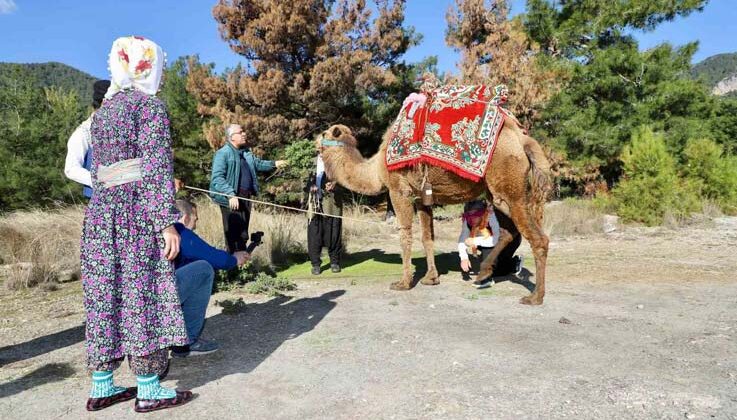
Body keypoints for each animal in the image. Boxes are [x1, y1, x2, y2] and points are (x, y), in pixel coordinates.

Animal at [316, 116, 552, 304]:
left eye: (324, 133)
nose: (315, 141)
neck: (375, 169)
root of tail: (524, 140)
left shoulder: (398, 190)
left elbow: (405, 235)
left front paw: (403, 282)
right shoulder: (422, 198)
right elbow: (427, 237)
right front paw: (431, 278)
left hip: (509, 188)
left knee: (537, 238)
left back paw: (535, 297)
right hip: (496, 194)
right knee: (506, 232)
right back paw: (484, 272)